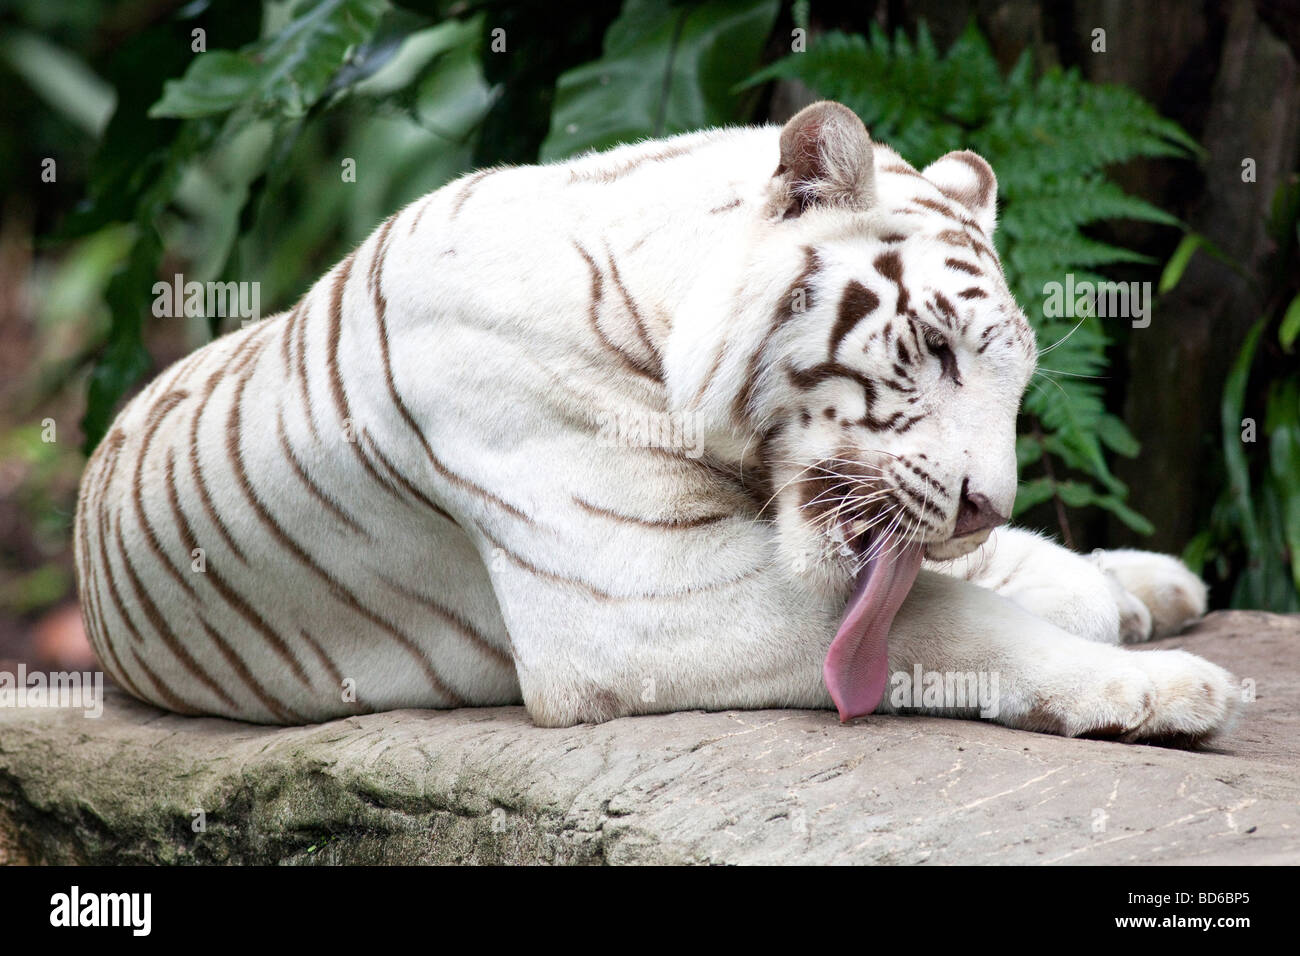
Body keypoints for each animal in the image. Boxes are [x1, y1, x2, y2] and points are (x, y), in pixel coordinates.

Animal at [73, 100, 1237, 743]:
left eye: (1015, 376)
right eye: (940, 348)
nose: (984, 506)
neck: (655, 304)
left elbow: (960, 583)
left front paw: (1133, 593)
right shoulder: (639, 600)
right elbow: (941, 618)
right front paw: (1168, 687)